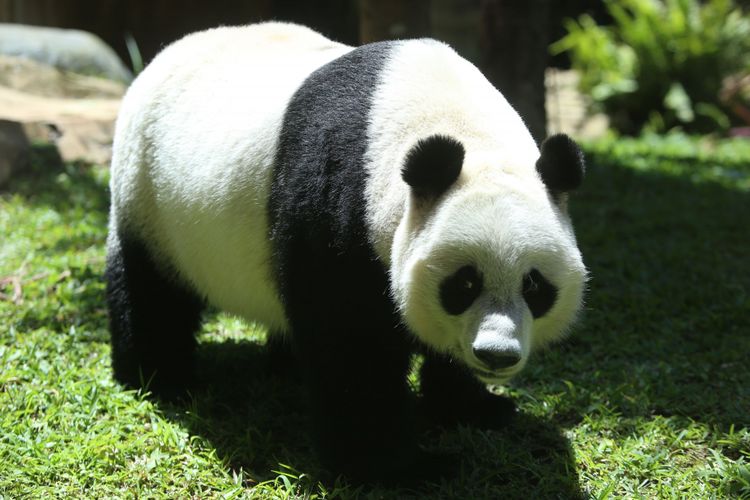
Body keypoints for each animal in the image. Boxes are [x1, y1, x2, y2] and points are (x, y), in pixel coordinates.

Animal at [104, 22, 588, 480]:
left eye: (534, 285)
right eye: (464, 283)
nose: (496, 355)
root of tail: (167, 52)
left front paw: (474, 407)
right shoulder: (337, 206)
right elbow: (351, 348)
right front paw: (399, 467)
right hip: (147, 195)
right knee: (149, 290)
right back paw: (159, 376)